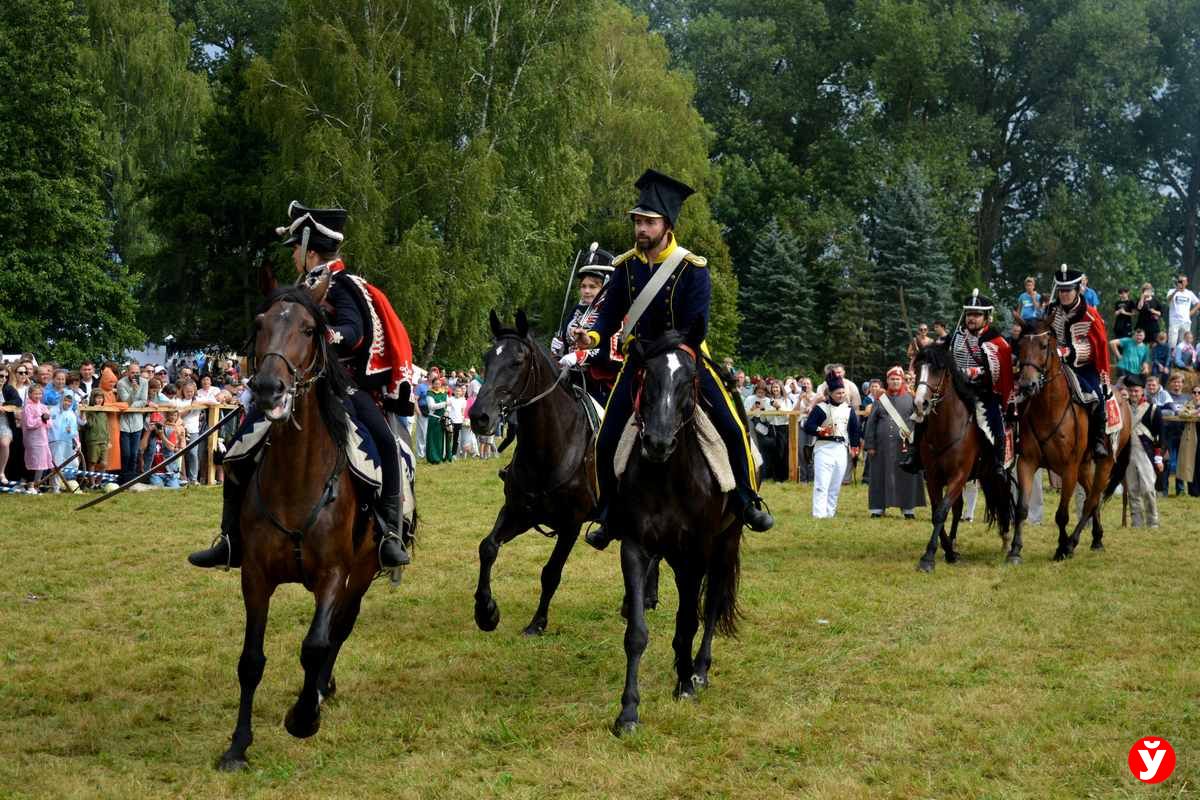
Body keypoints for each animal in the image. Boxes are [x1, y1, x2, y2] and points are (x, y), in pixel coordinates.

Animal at [216, 278, 403, 772]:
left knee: (339, 628)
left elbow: (316, 643)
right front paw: (238, 745)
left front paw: (303, 717)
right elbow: (250, 660)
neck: (298, 481)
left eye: (307, 328)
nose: (267, 388)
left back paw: (318, 691)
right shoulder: (255, 576)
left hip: (363, 572)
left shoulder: (334, 574)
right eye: (261, 323)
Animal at [609, 321, 739, 738]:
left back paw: (698, 670)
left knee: (711, 605)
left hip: (725, 544)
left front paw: (684, 684)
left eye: (688, 380)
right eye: (646, 376)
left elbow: (689, 621)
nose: (657, 442)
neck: (667, 476)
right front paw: (628, 711)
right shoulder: (635, 547)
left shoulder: (697, 551)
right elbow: (636, 633)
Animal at [916, 347, 1012, 573]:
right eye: (918, 368)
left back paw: (1006, 539)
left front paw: (928, 557)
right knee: (958, 507)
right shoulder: (933, 478)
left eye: (938, 370)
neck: (945, 430)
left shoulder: (958, 476)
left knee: (1004, 500)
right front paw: (947, 551)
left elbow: (941, 512)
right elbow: (937, 511)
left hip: (997, 474)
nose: (920, 403)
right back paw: (952, 544)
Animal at [1017, 316, 1128, 561]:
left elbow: (1062, 515)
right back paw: (1097, 538)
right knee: (1090, 497)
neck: (1050, 408)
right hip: (1084, 465)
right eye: (1019, 345)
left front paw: (1061, 548)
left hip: (1105, 462)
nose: (1027, 385)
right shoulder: (1027, 463)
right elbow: (1021, 508)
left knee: (1092, 500)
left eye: (1043, 346)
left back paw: (1072, 543)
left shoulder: (1068, 468)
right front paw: (1014, 550)